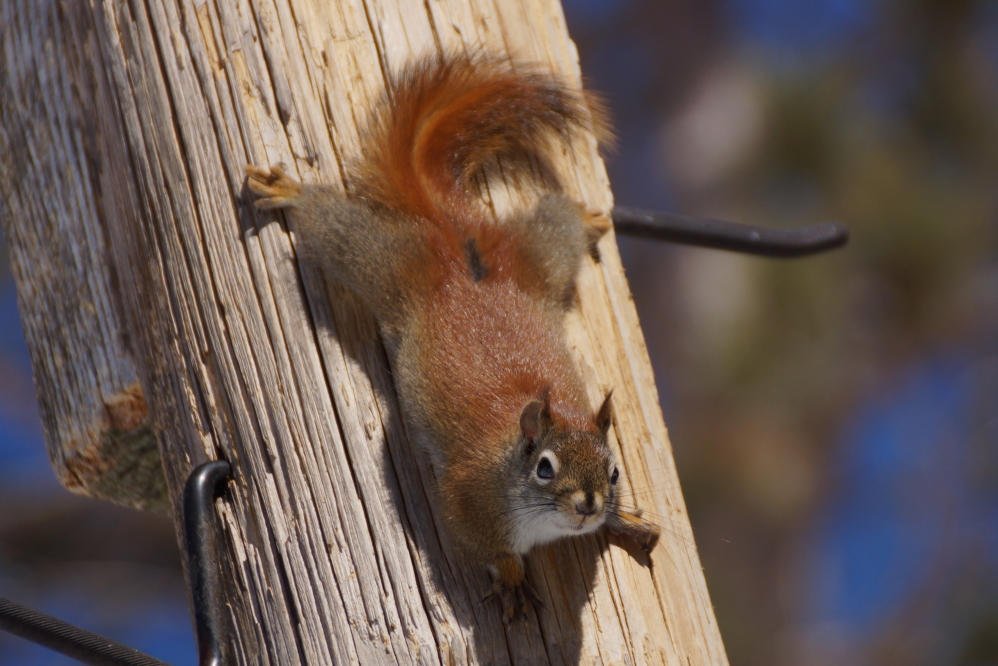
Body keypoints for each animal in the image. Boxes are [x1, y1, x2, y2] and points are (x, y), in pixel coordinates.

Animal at [246, 53, 660, 621]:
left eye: (614, 472)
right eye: (545, 468)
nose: (589, 505)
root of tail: (453, 235)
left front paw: (625, 521)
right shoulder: (466, 502)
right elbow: (485, 546)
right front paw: (512, 579)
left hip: (539, 258)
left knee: (555, 219)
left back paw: (586, 215)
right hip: (386, 264)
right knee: (336, 227)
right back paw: (290, 192)